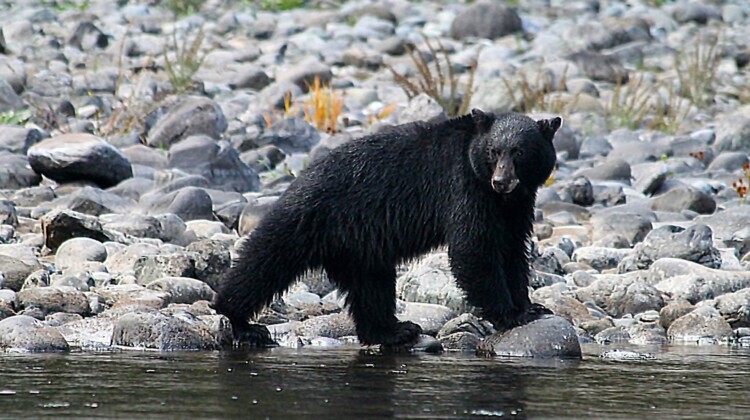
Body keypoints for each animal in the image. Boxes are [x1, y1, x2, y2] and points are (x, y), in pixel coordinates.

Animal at [212, 109, 561, 347]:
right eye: (493, 151)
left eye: (519, 152)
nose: (501, 180)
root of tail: (298, 180)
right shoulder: (464, 187)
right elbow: (473, 249)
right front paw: (511, 314)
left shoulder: (517, 205)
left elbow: (513, 250)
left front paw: (531, 306)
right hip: (304, 221)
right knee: (263, 262)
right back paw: (239, 319)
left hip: (360, 246)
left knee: (371, 287)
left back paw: (393, 330)